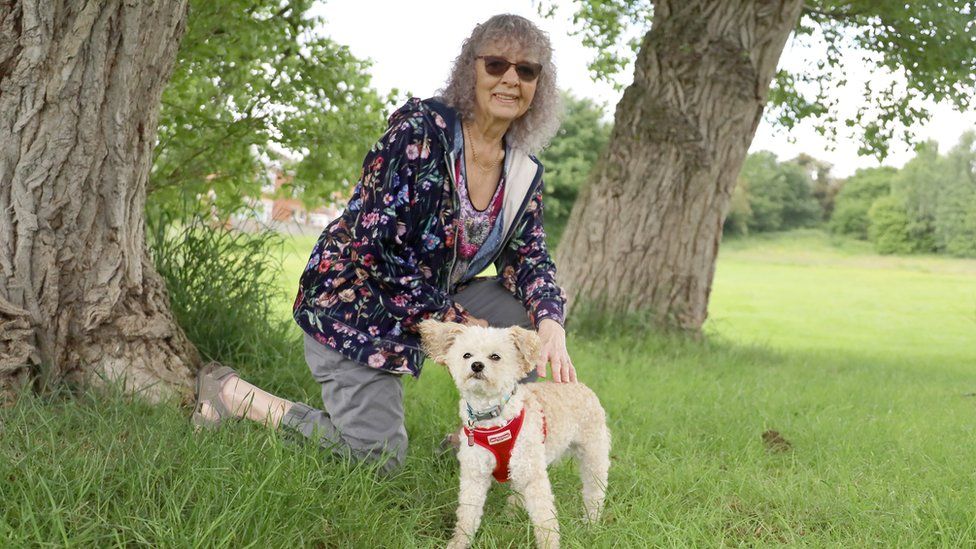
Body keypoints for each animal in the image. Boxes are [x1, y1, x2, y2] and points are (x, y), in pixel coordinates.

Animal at [420, 318, 608, 544]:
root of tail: (578, 385)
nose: (476, 365)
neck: (493, 418)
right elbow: (467, 515)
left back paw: (590, 524)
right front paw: (459, 543)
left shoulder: (534, 477)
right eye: (466, 355)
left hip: (593, 456)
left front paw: (549, 544)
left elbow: (545, 520)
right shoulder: (475, 476)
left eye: (495, 356)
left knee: (594, 492)